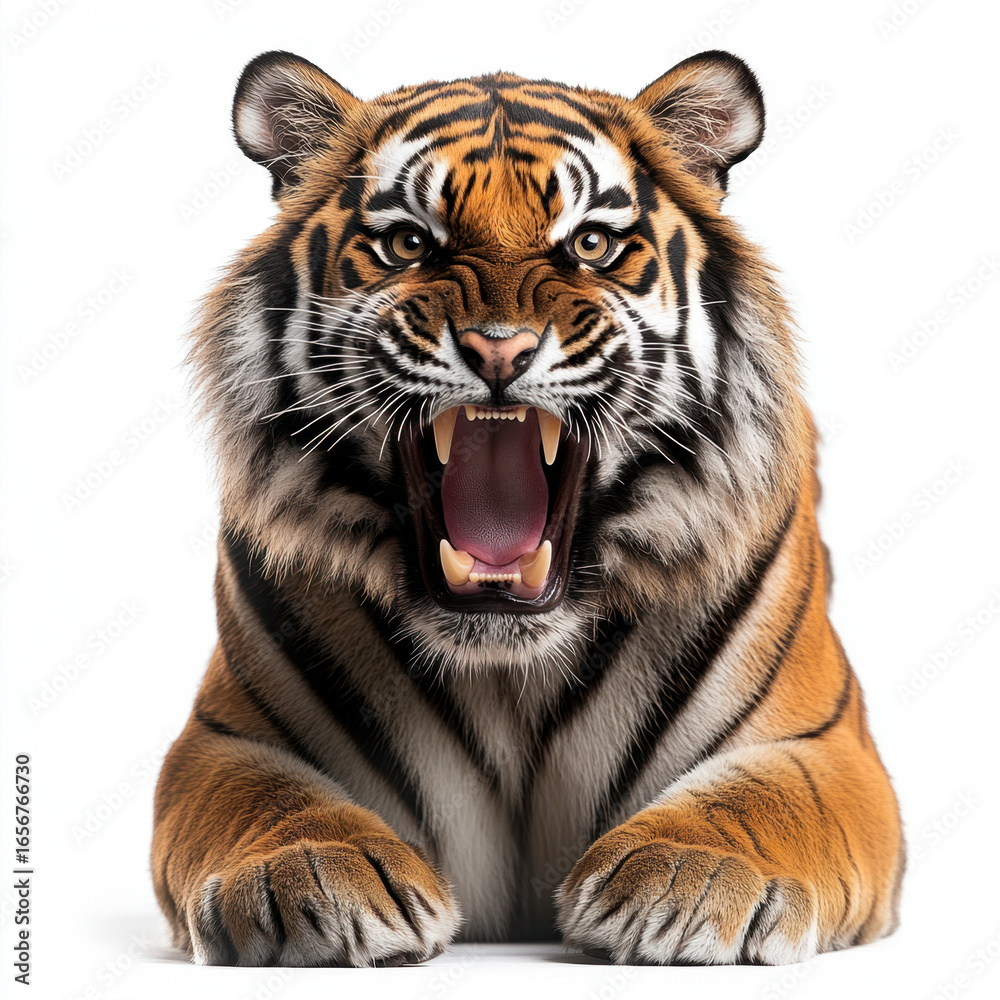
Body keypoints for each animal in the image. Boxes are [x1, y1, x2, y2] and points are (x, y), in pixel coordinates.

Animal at [151, 48, 904, 968]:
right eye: (409, 243)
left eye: (591, 244)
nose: (499, 350)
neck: (509, 666)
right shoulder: (223, 739)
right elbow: (265, 798)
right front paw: (308, 873)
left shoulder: (823, 746)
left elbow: (762, 798)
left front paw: (688, 877)